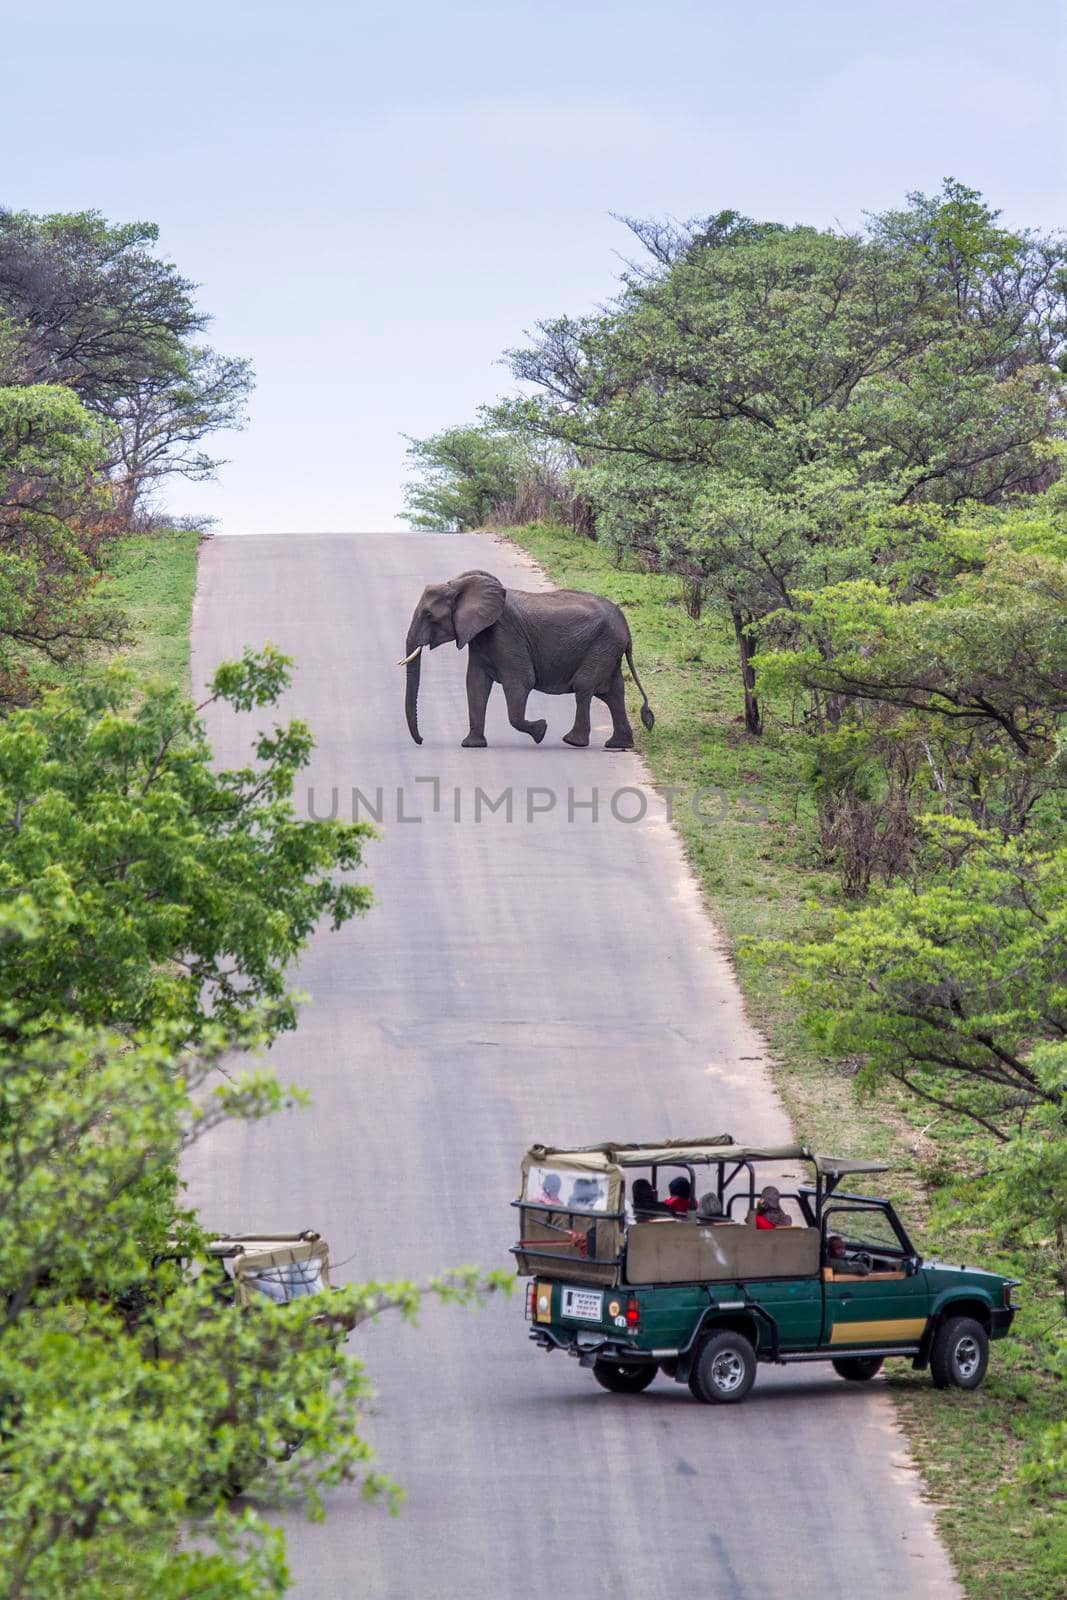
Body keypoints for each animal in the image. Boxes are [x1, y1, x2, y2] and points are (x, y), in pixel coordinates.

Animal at [398, 569, 655, 748]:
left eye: (428, 615)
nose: (422, 741)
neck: (460, 585)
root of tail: (626, 628)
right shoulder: (480, 636)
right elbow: (475, 683)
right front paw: (471, 745)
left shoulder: (506, 634)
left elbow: (520, 683)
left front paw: (540, 730)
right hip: (608, 650)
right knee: (612, 693)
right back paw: (617, 745)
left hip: (602, 646)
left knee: (584, 687)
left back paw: (573, 742)